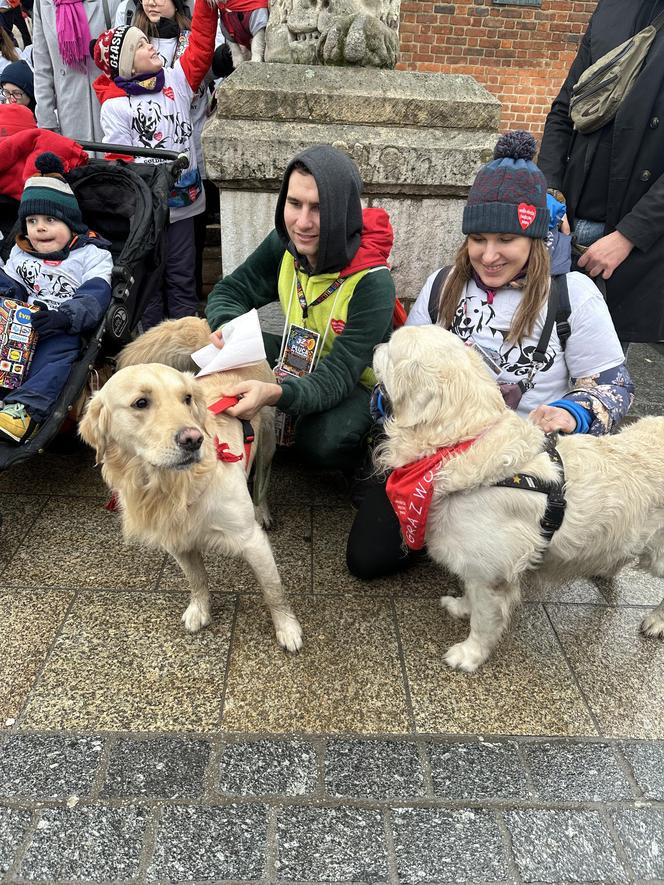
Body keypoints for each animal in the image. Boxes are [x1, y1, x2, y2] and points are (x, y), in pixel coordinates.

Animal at [78, 318, 304, 648]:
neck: (174, 485)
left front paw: (287, 628)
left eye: (186, 399)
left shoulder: (252, 541)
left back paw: (262, 510)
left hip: (267, 442)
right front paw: (199, 611)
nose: (193, 439)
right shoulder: (178, 541)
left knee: (262, 480)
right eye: (141, 402)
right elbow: (197, 580)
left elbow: (274, 590)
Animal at [374, 324, 664, 668]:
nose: (375, 346)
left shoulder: (493, 575)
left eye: (391, 344)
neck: (460, 444)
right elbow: (471, 594)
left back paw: (656, 621)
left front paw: (470, 654)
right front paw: (461, 606)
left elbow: (484, 620)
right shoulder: (476, 566)